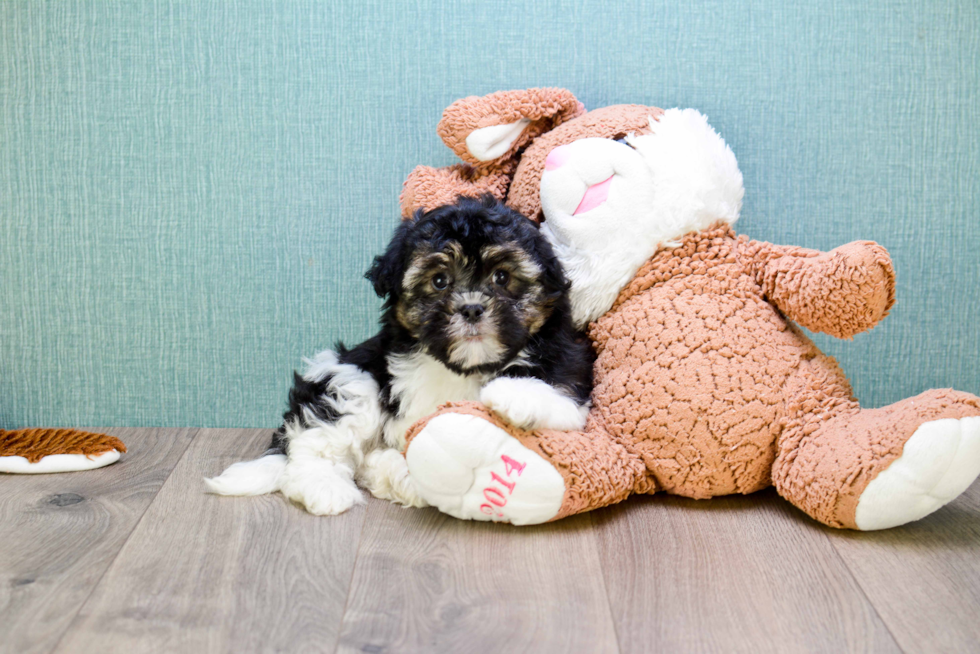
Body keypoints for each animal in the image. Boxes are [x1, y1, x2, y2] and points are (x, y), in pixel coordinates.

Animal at [204, 197, 592, 516]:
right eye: (439, 281)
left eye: (501, 277)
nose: (471, 308)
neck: (465, 368)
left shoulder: (572, 375)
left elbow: (554, 391)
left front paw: (515, 395)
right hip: (349, 377)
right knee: (314, 446)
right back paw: (328, 488)